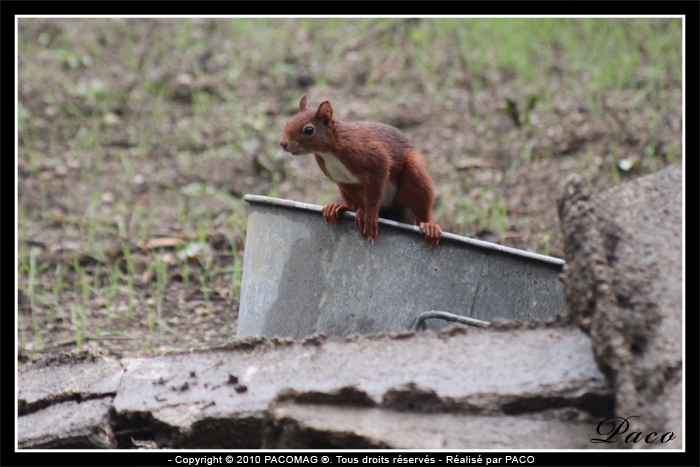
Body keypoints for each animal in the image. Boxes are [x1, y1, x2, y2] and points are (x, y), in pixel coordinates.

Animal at [280, 96, 440, 249]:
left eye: (309, 130)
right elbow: (357, 197)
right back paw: (337, 207)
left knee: (421, 204)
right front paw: (362, 212)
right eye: (288, 122)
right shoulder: (343, 179)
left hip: (414, 174)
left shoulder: (374, 159)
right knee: (351, 204)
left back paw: (429, 226)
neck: (329, 152)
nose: (282, 143)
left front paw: (369, 215)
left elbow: (376, 188)